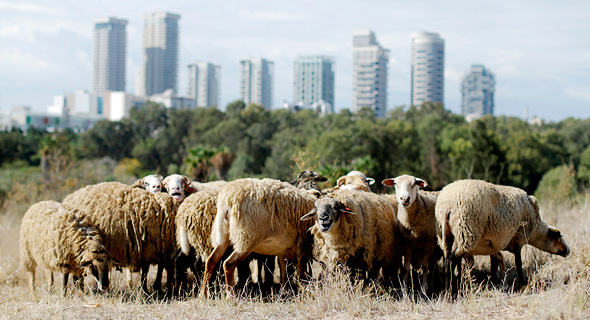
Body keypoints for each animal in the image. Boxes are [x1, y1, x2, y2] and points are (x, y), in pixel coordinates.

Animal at [434, 180, 572, 288]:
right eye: (559, 236)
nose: (568, 250)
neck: (535, 228)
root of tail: (447, 206)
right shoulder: (518, 238)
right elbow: (518, 262)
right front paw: (522, 283)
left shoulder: (493, 245)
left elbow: (495, 263)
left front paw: (495, 282)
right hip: (466, 233)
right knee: (452, 261)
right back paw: (453, 290)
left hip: (445, 237)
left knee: (447, 261)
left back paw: (447, 291)